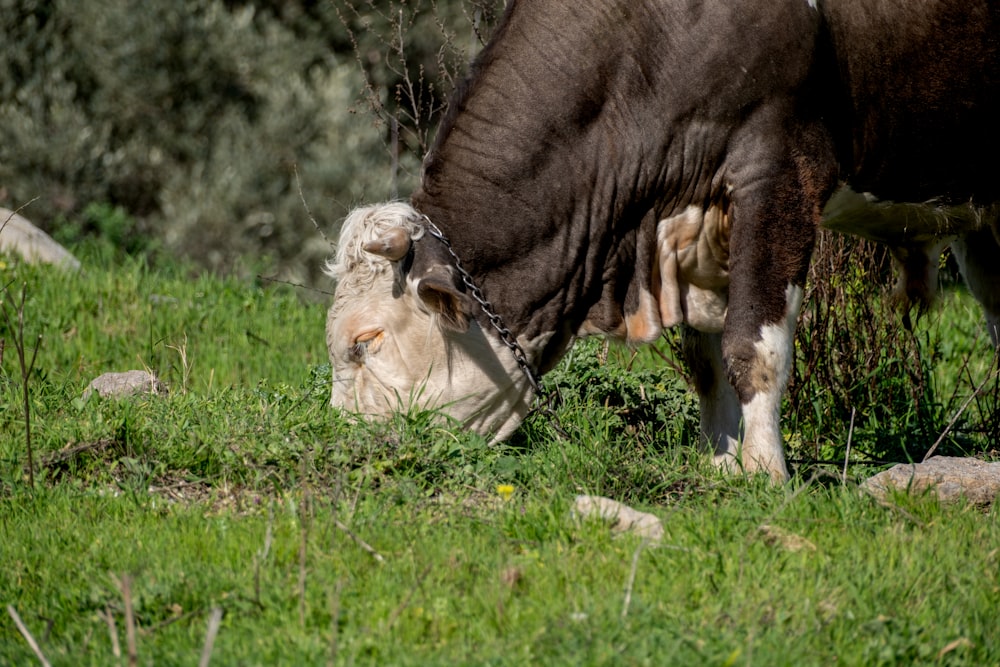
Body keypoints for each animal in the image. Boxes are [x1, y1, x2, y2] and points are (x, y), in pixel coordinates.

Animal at [326, 0, 1000, 482]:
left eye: (366, 340)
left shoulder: (780, 167)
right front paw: (722, 466)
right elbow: (705, 360)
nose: (342, 443)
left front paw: (765, 472)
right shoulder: (686, 232)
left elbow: (753, 343)